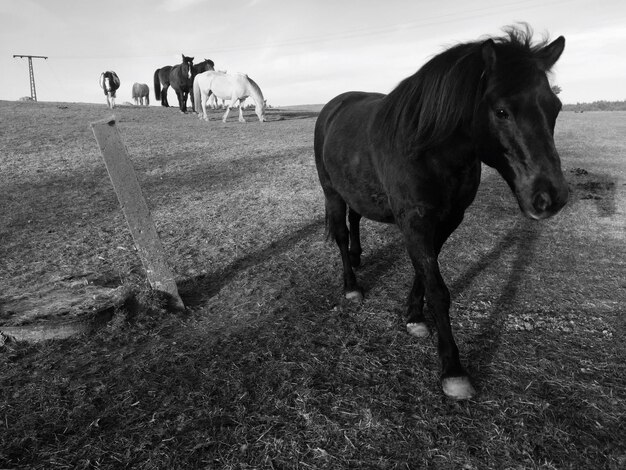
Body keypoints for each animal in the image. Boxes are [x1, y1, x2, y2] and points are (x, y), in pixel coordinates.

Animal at [314, 25, 568, 400]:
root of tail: (334, 105)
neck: (429, 149)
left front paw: (414, 317)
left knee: (355, 219)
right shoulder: (414, 221)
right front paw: (453, 370)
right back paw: (351, 285)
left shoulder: (448, 219)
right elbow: (438, 289)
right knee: (342, 234)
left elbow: (425, 270)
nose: (551, 197)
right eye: (501, 111)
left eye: (556, 106)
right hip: (331, 192)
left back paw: (360, 258)